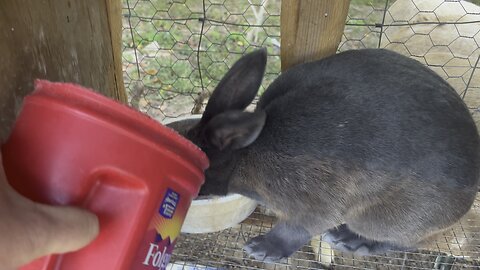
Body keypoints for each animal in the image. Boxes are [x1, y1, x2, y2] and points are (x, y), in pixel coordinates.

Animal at [169, 48, 480, 262]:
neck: (246, 155)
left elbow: (296, 228)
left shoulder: (316, 203)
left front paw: (262, 250)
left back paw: (352, 241)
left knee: (408, 241)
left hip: (386, 218)